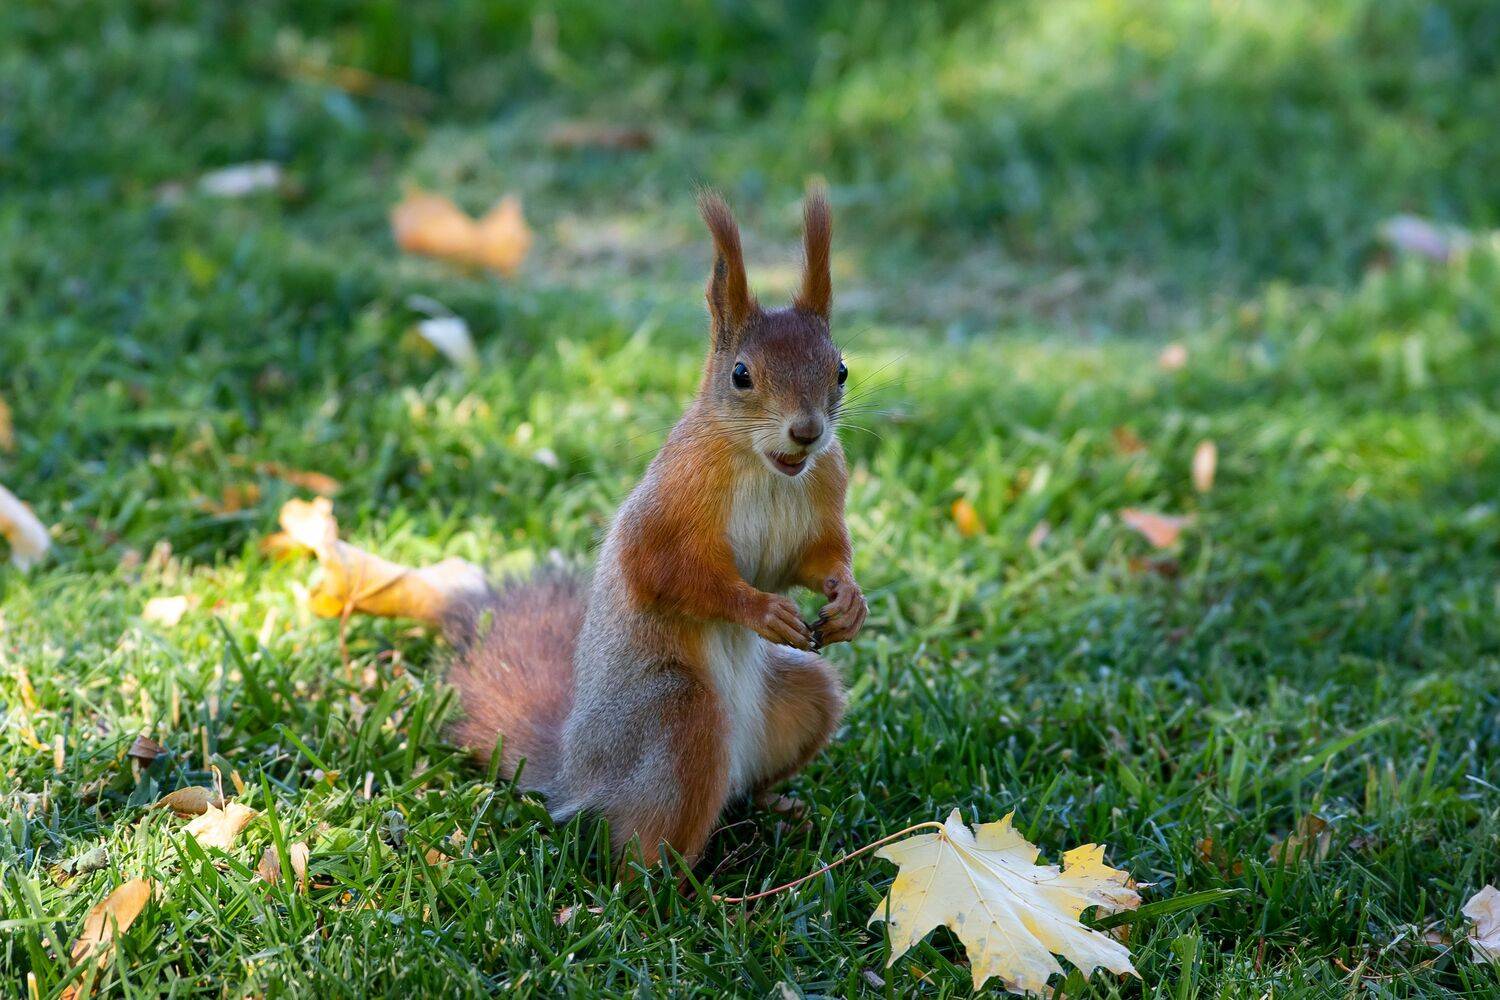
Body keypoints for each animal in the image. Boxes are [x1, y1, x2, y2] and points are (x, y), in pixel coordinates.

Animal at [443, 188, 866, 867]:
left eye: (842, 370)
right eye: (741, 374)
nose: (807, 432)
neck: (767, 466)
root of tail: (578, 771)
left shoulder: (825, 489)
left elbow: (818, 557)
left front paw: (850, 600)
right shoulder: (672, 502)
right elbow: (667, 572)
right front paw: (760, 610)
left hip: (804, 694)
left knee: (751, 781)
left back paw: (779, 809)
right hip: (676, 716)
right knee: (637, 851)